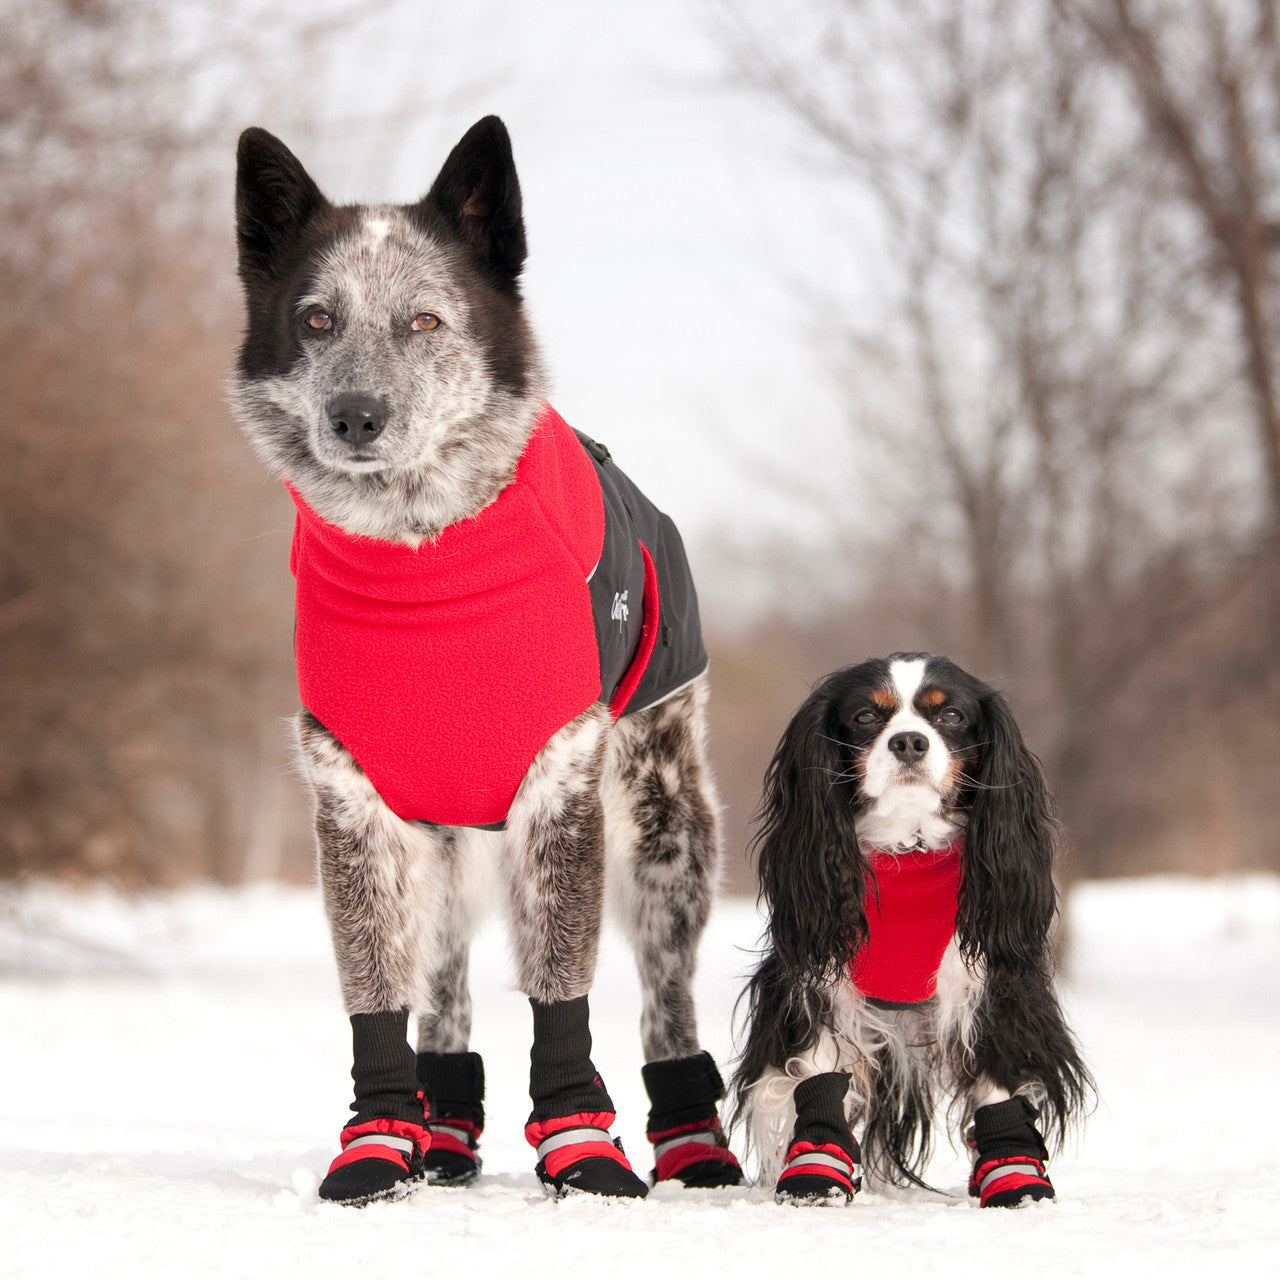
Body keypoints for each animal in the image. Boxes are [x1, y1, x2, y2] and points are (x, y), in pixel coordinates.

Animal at [235, 117, 747, 1198]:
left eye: (425, 320)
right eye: (315, 319)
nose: (354, 415)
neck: (425, 561)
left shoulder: (558, 789)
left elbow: (562, 992)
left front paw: (581, 1145)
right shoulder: (353, 804)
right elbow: (376, 992)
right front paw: (378, 1143)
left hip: (663, 834)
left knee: (664, 995)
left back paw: (693, 1143)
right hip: (443, 845)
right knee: (444, 987)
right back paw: (442, 1137)